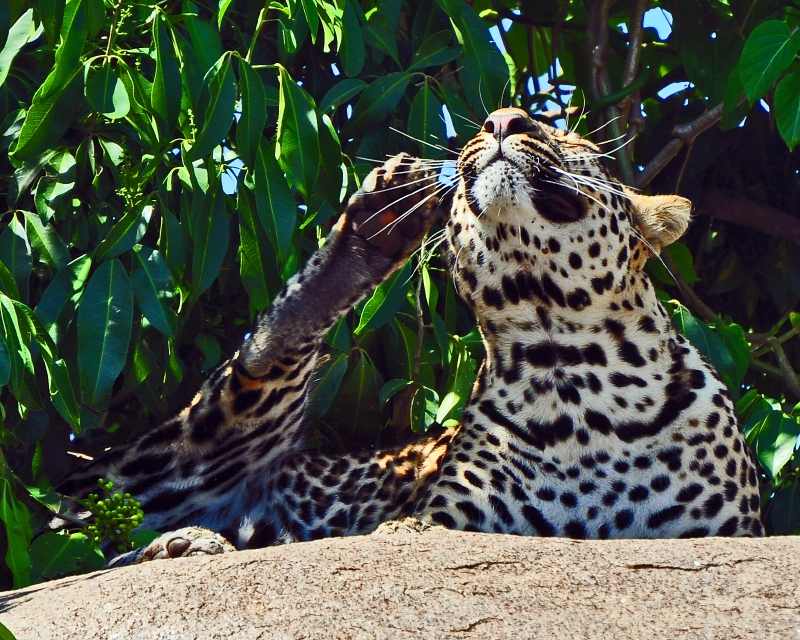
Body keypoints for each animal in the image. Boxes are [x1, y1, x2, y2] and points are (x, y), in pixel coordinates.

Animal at [48, 107, 763, 566]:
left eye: (571, 135)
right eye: (494, 122)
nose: (501, 121)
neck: (576, 376)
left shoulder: (726, 533)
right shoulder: (439, 522)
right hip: (181, 457)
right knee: (252, 370)